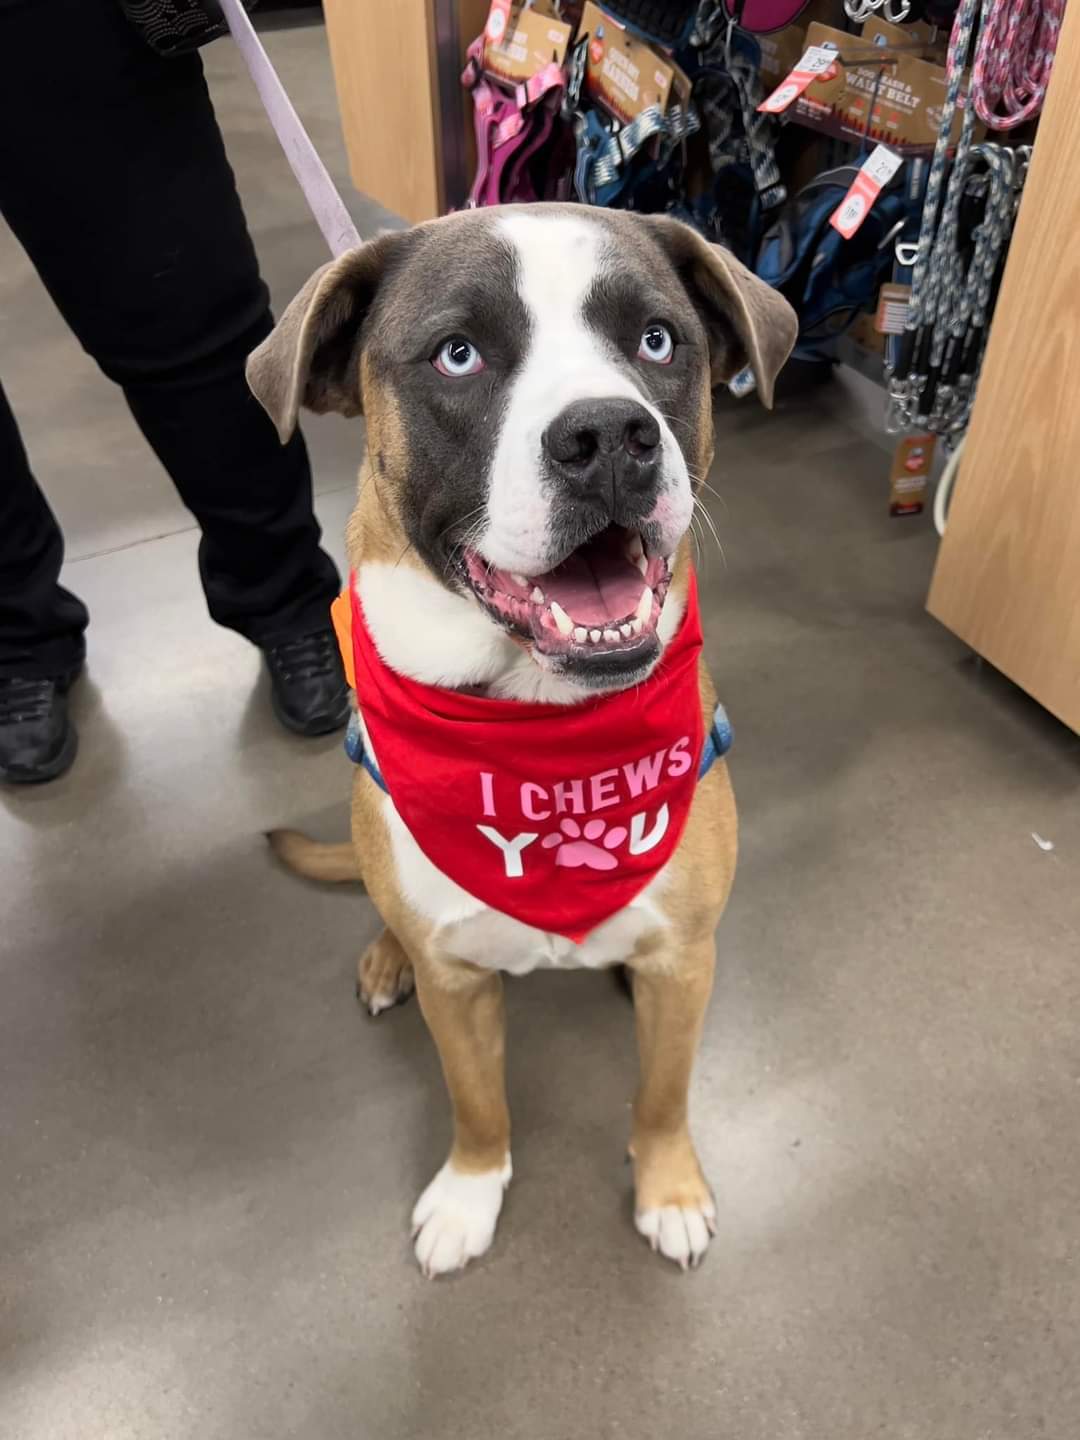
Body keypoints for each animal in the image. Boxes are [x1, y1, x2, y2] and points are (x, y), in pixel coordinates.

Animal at [252, 200, 794, 1272]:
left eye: (656, 339)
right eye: (457, 354)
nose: (612, 435)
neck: (538, 741)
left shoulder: (686, 965)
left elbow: (662, 1094)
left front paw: (669, 1187)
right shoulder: (459, 988)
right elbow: (478, 1106)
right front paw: (470, 1194)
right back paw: (386, 956)